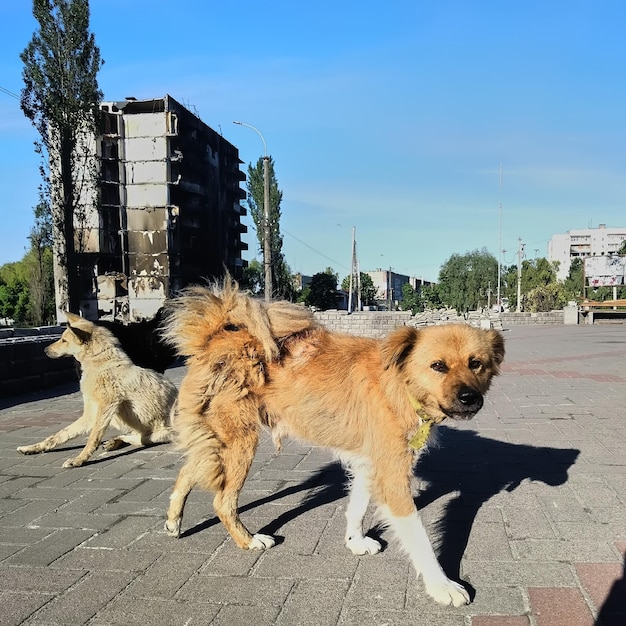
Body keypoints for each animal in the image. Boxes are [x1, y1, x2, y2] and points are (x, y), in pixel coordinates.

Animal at [162, 282, 502, 604]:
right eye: (438, 366)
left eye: (476, 363)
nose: (470, 398)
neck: (399, 385)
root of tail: (214, 337)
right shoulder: (393, 475)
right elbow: (419, 538)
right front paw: (442, 586)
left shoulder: (370, 464)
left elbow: (358, 507)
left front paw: (355, 542)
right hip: (240, 442)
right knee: (222, 500)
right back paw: (249, 540)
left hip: (220, 440)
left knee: (188, 471)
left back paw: (173, 523)